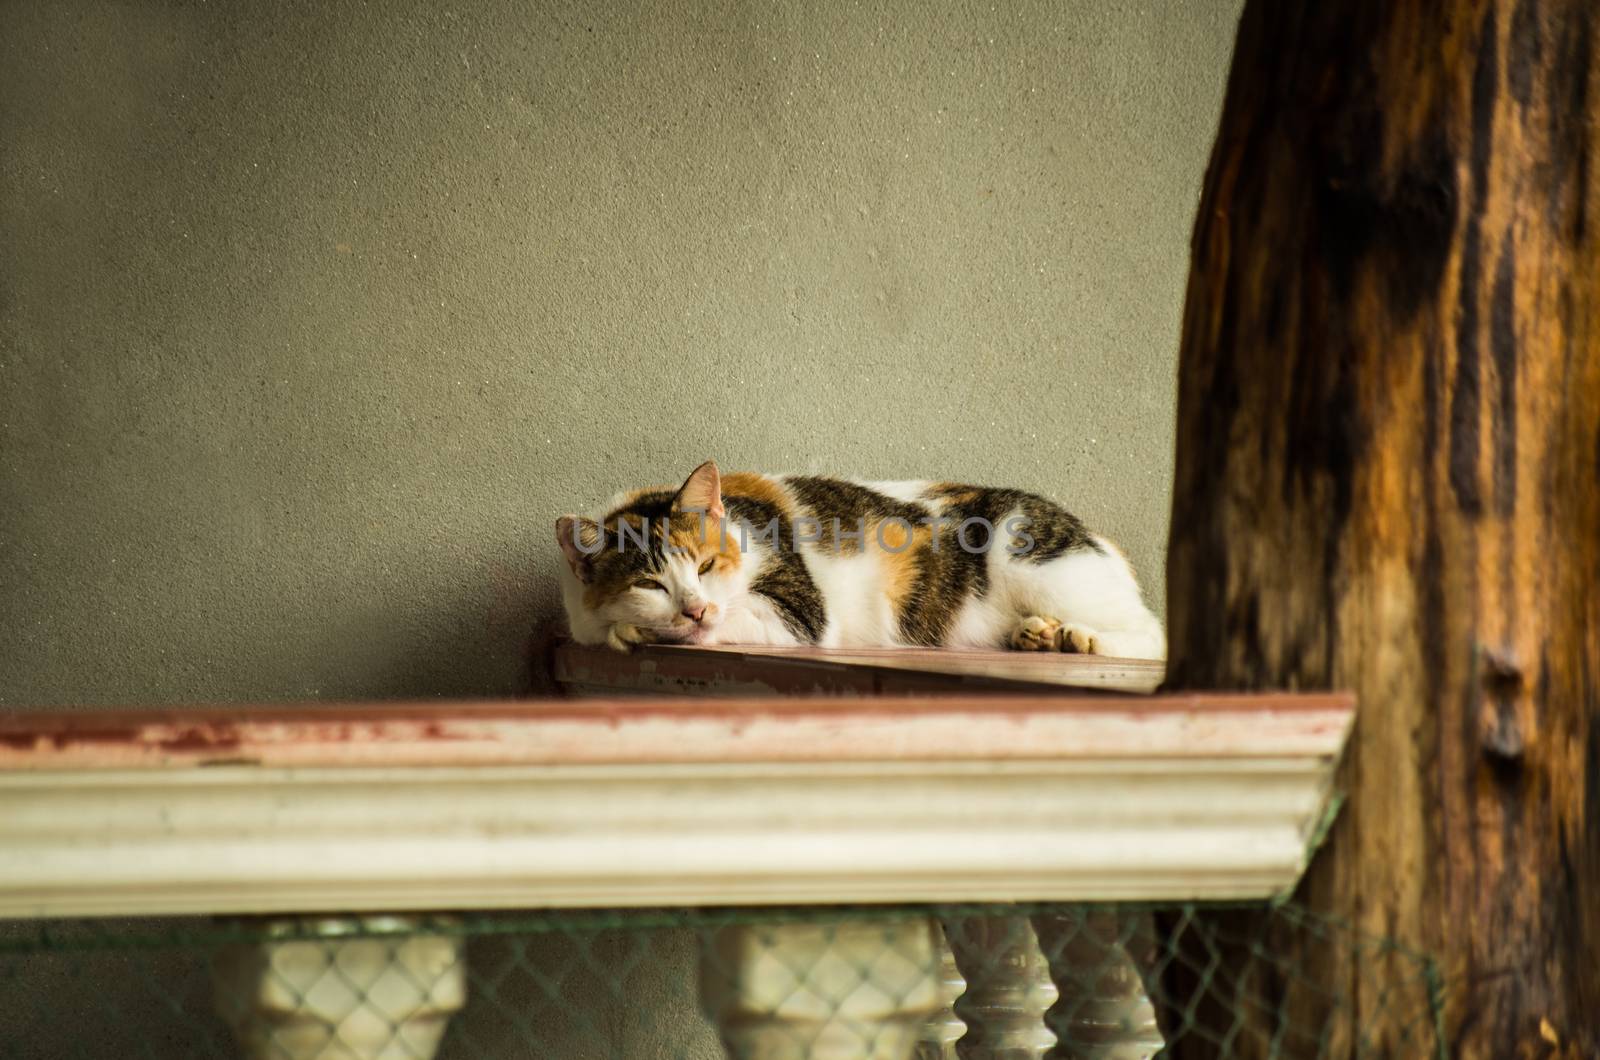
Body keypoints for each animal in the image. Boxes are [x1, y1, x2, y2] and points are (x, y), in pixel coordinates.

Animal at [560, 461, 1164, 659]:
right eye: (651, 584)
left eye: (707, 567)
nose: (695, 609)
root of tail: (1096, 534)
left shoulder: (801, 611)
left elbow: (740, 619)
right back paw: (1036, 635)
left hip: (1037, 561)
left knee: (1152, 632)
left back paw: (1078, 638)